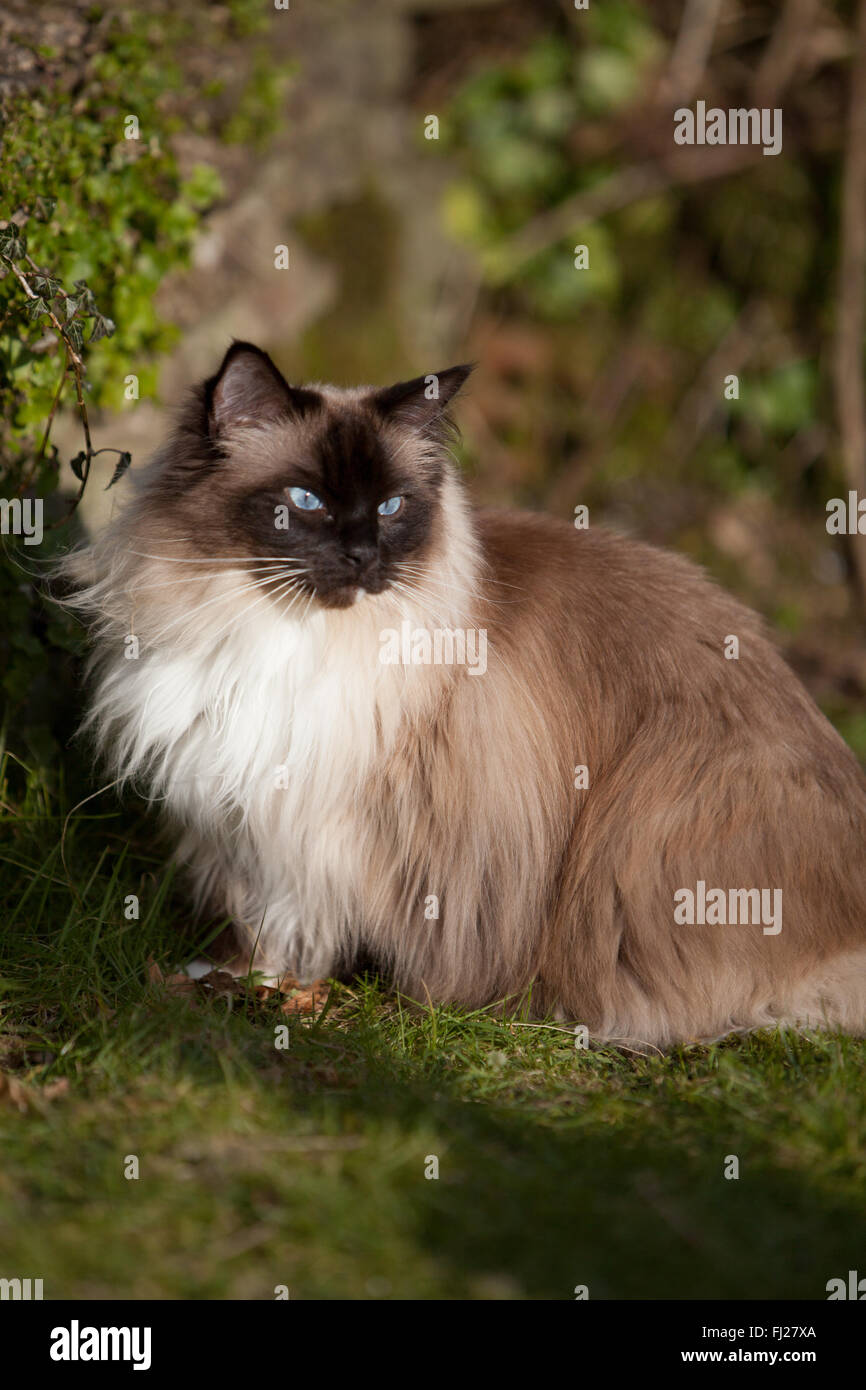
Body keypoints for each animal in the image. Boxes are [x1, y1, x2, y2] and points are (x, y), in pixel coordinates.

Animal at [61, 341, 866, 1045]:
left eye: (390, 508)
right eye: (305, 500)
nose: (363, 556)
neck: (282, 633)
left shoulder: (359, 821)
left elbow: (333, 921)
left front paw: (310, 997)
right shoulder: (254, 819)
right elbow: (268, 923)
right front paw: (247, 978)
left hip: (638, 837)